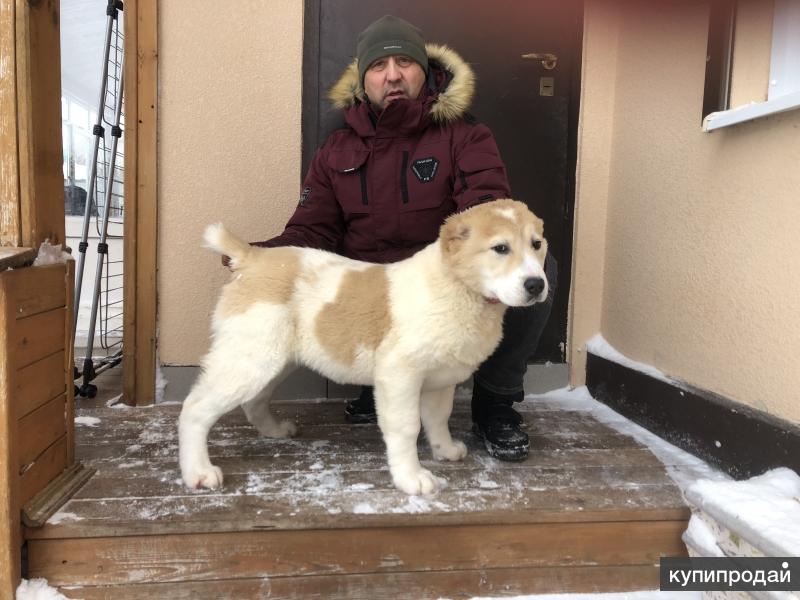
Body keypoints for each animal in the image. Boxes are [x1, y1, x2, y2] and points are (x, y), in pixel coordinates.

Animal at [178, 199, 548, 494]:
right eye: (500, 249)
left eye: (537, 244)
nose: (536, 284)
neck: (459, 288)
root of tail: (252, 256)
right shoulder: (399, 375)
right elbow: (407, 426)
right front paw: (411, 478)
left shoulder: (440, 377)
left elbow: (437, 418)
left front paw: (444, 450)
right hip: (250, 358)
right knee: (194, 409)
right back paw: (198, 472)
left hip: (273, 359)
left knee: (254, 400)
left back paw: (274, 430)